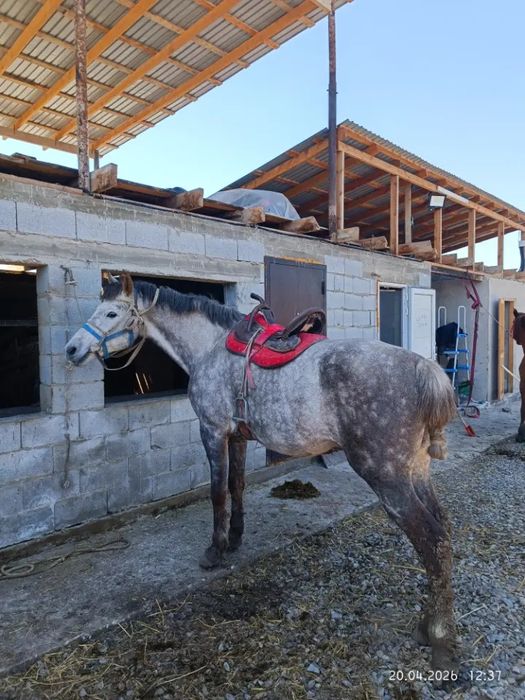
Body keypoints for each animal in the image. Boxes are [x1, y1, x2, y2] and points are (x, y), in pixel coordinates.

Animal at [65, 272, 458, 671]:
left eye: (111, 312)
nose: (72, 349)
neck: (210, 347)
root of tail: (424, 369)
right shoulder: (237, 436)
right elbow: (237, 485)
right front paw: (236, 538)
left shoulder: (212, 431)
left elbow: (217, 492)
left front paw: (215, 550)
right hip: (416, 472)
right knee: (442, 531)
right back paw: (427, 625)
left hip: (386, 477)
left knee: (433, 541)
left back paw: (440, 639)